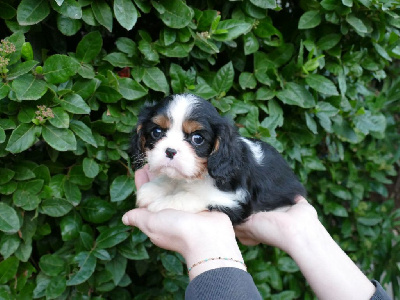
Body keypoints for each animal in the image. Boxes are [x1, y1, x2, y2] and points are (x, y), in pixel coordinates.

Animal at [131, 92, 306, 224]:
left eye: (197, 139)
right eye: (156, 132)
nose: (170, 151)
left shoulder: (232, 202)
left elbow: (193, 197)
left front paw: (163, 203)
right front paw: (153, 189)